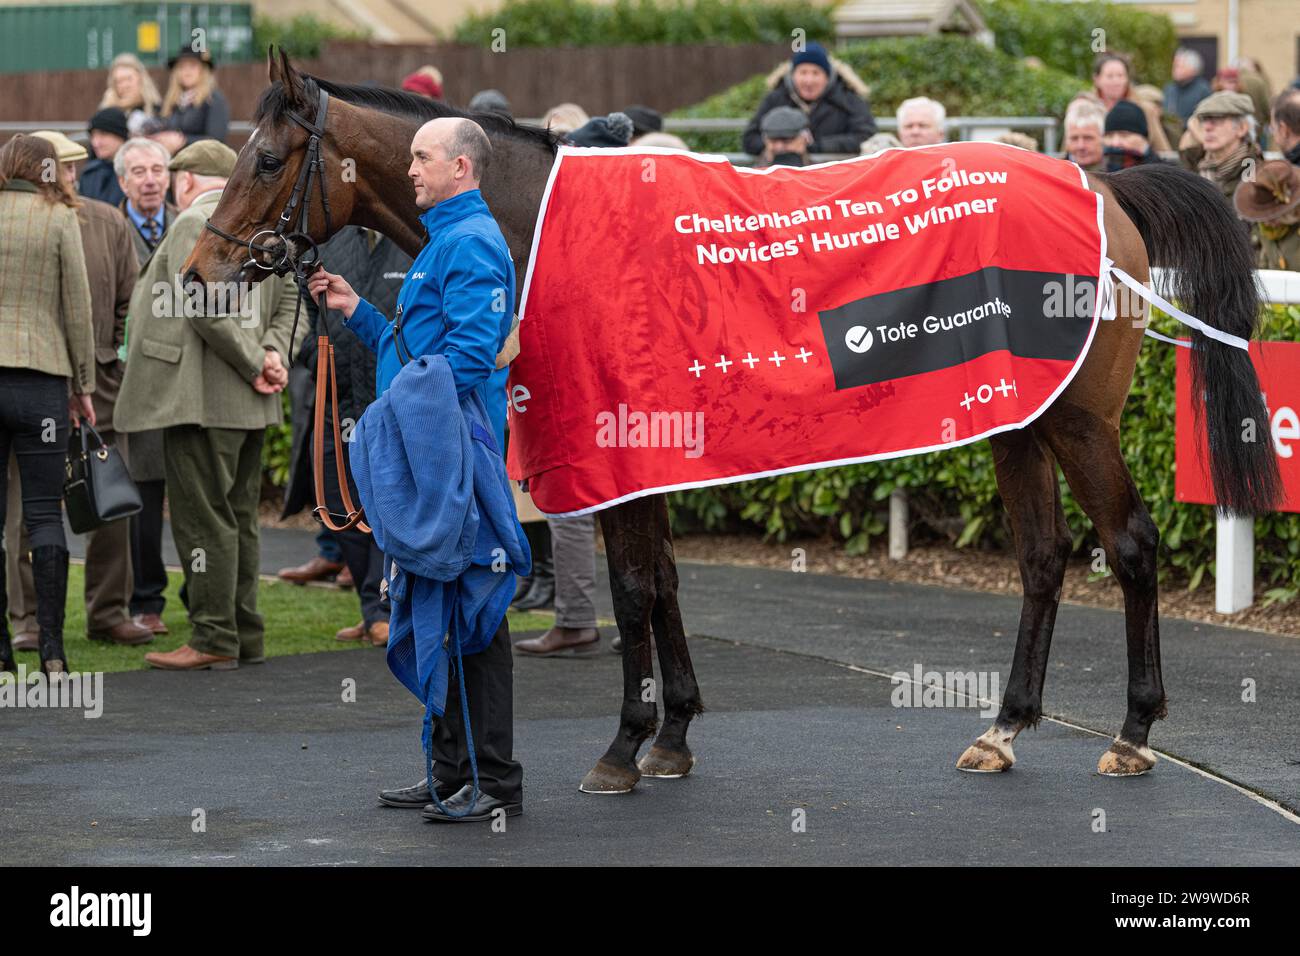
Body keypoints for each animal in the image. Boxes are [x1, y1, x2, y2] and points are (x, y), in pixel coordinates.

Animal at [180, 48, 1279, 790]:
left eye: (268, 156)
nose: (198, 269)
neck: (545, 227)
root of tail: (1106, 182)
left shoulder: (616, 447)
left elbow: (630, 588)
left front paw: (625, 744)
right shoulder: (651, 454)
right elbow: (662, 581)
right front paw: (672, 734)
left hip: (1084, 420)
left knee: (1129, 544)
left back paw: (1132, 733)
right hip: (1017, 417)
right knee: (1045, 557)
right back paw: (1003, 728)